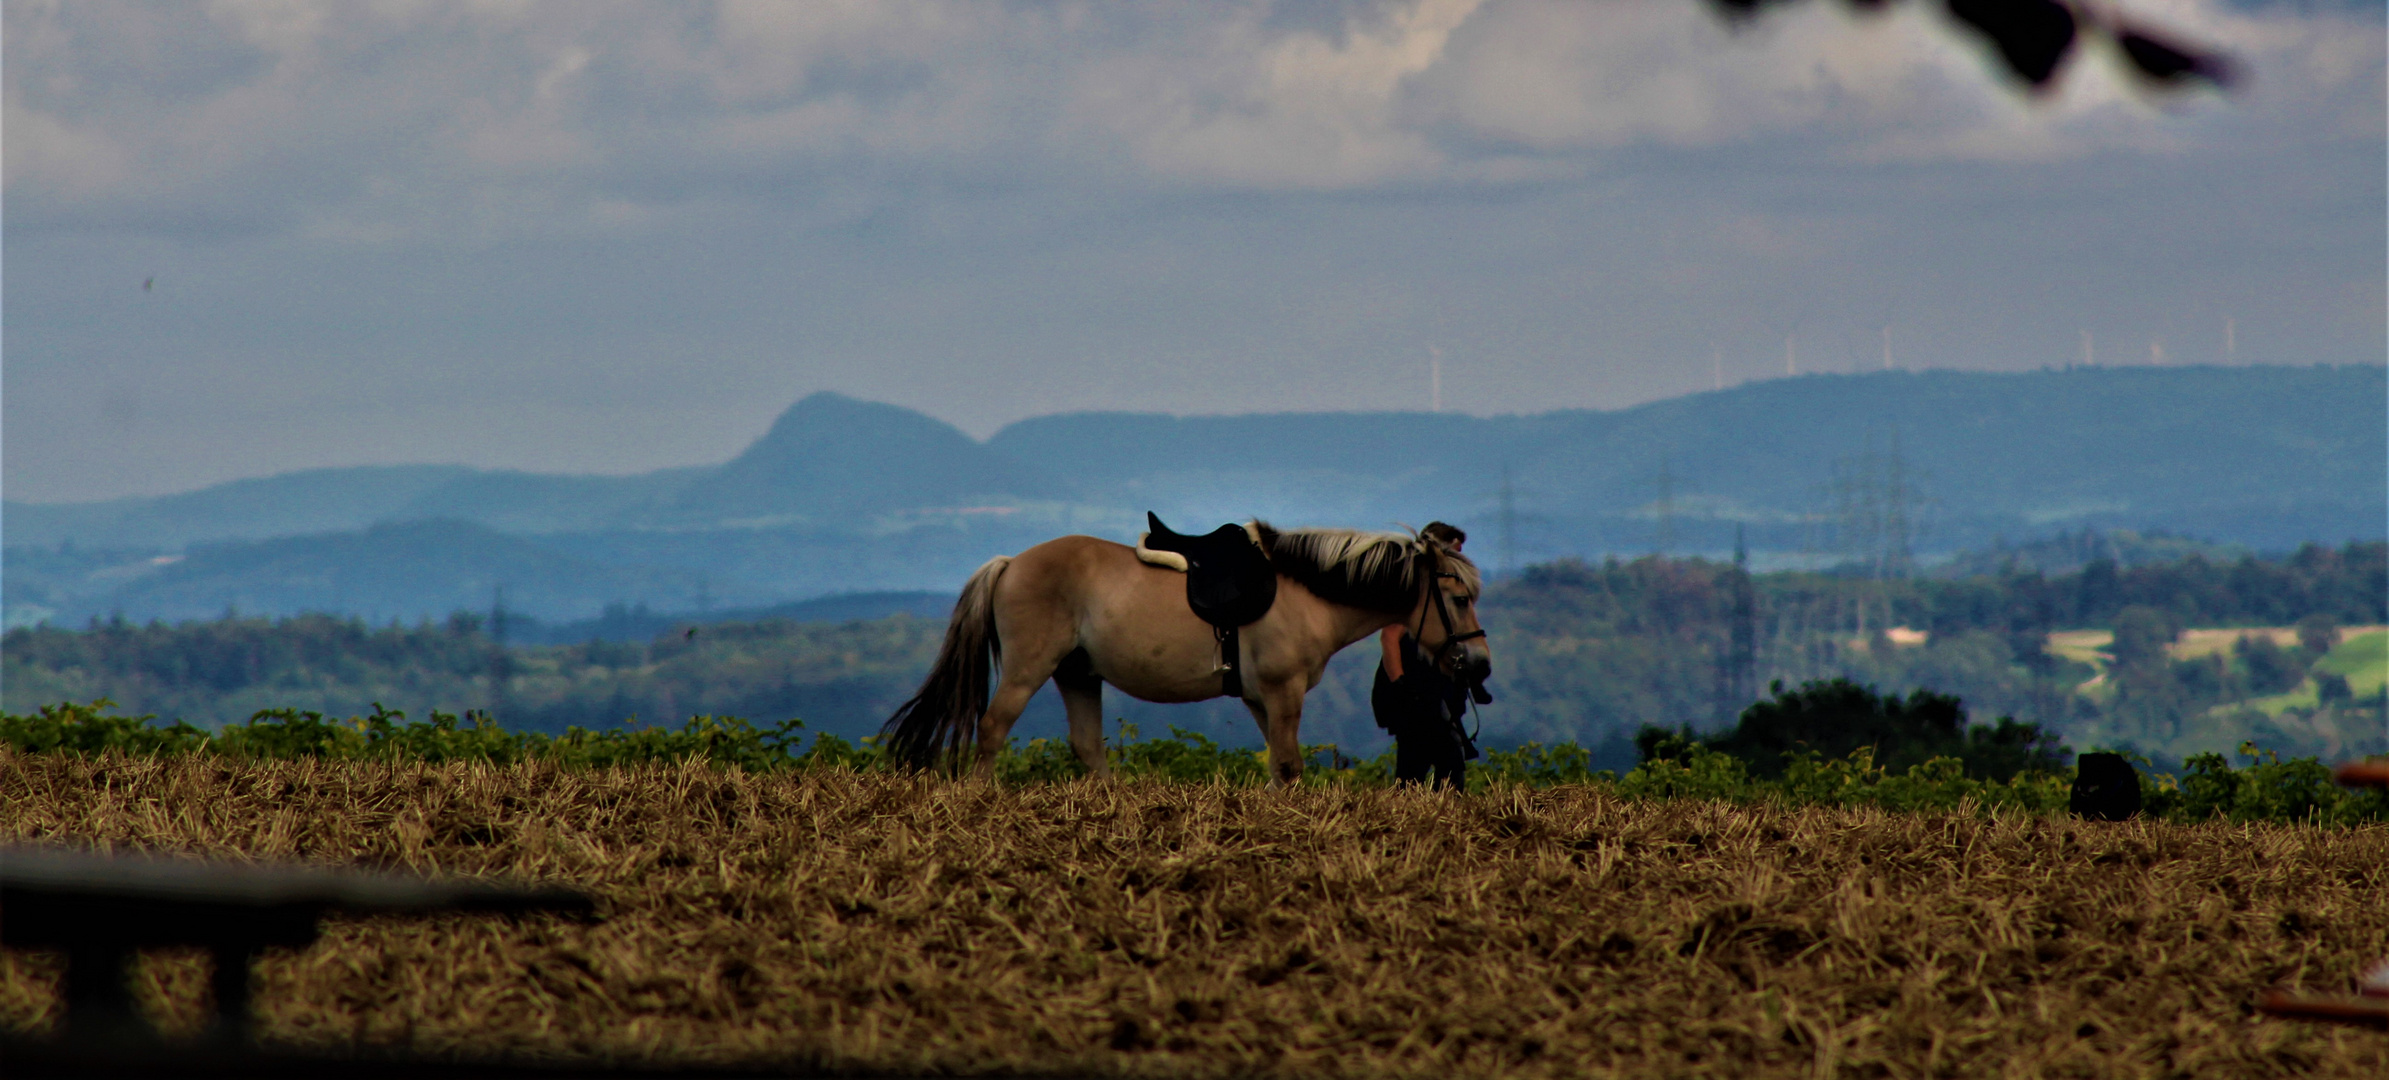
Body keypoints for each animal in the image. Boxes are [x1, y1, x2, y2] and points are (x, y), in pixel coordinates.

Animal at [879, 523, 1481, 783]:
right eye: (1459, 598)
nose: (1479, 664)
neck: (1305, 593)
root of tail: (1010, 563)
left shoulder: (1261, 699)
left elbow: (1278, 763)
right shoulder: (1282, 691)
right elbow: (1288, 764)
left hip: (1078, 674)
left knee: (1087, 746)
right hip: (1030, 669)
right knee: (993, 727)